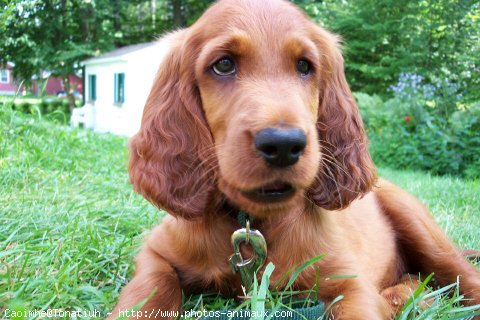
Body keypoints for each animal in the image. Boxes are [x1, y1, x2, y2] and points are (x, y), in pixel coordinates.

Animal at [109, 1, 480, 318]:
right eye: (224, 64)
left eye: (305, 66)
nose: (284, 144)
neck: (255, 222)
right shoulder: (155, 252)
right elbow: (149, 290)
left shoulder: (351, 284)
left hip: (415, 221)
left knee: (460, 275)